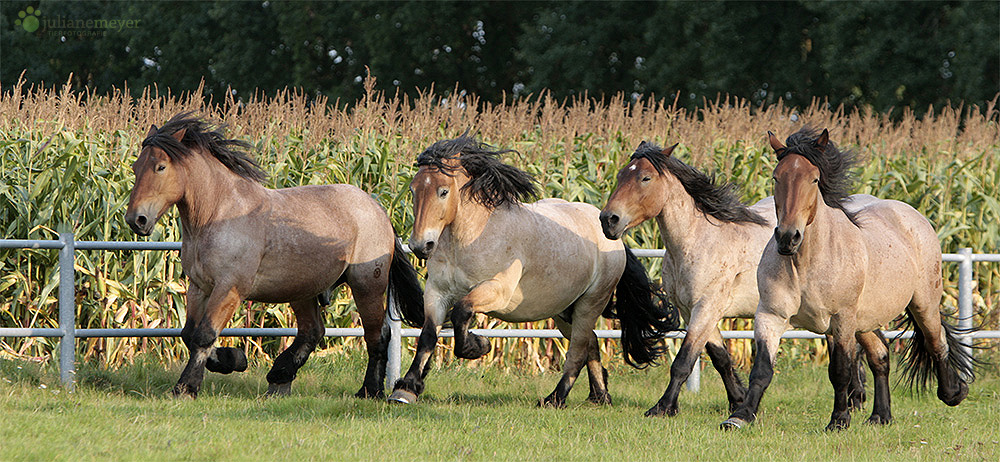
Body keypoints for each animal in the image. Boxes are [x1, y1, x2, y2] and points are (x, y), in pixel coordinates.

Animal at [123, 113, 424, 398]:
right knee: (312, 332)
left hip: (366, 285)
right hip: (303, 289)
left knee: (376, 335)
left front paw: (188, 386)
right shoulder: (199, 287)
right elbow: (189, 334)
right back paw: (280, 377)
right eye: (136, 167)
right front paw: (234, 358)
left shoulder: (229, 289)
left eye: (161, 167)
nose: (136, 220)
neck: (218, 214)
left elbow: (204, 335)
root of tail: (377, 208)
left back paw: (369, 390)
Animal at [382, 134, 680, 408]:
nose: (420, 245)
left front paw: (478, 346)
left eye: (443, 191)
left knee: (578, 349)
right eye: (413, 190)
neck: (471, 237)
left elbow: (461, 312)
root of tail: (610, 232)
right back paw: (600, 395)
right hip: (564, 311)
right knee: (591, 343)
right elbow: (428, 335)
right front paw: (406, 389)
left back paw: (556, 398)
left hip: (590, 304)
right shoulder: (437, 293)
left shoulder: (496, 291)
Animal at [720, 127, 976, 430]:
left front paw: (838, 420)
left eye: (814, 178)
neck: (805, 264)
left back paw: (954, 393)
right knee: (880, 356)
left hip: (922, 304)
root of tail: (912, 215)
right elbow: (761, 369)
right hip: (865, 320)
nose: (787, 237)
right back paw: (880, 415)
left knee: (936, 342)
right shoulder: (771, 315)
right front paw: (739, 416)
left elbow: (840, 371)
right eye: (775, 177)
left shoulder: (841, 320)